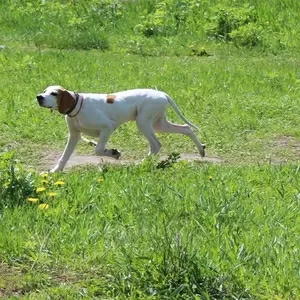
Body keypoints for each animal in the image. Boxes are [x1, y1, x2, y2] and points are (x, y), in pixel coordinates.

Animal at [36, 85, 205, 172]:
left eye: (54, 93)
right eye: (44, 91)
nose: (39, 97)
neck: (77, 105)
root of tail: (162, 93)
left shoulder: (108, 127)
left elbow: (98, 150)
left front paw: (113, 153)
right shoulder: (74, 136)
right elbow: (64, 156)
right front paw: (55, 171)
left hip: (143, 122)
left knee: (156, 145)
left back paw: (140, 164)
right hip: (159, 124)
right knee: (186, 128)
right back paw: (201, 150)